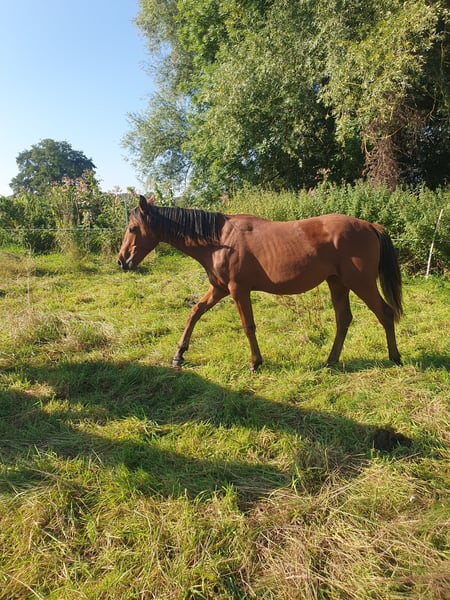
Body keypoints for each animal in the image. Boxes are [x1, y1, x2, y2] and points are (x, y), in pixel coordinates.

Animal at [118, 194, 403, 370]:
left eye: (132, 228)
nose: (122, 261)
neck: (220, 240)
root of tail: (370, 225)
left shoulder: (237, 290)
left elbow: (248, 326)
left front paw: (255, 362)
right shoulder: (219, 288)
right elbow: (194, 313)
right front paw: (179, 355)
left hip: (361, 283)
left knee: (385, 314)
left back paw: (395, 357)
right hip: (337, 283)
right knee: (344, 320)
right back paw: (331, 360)